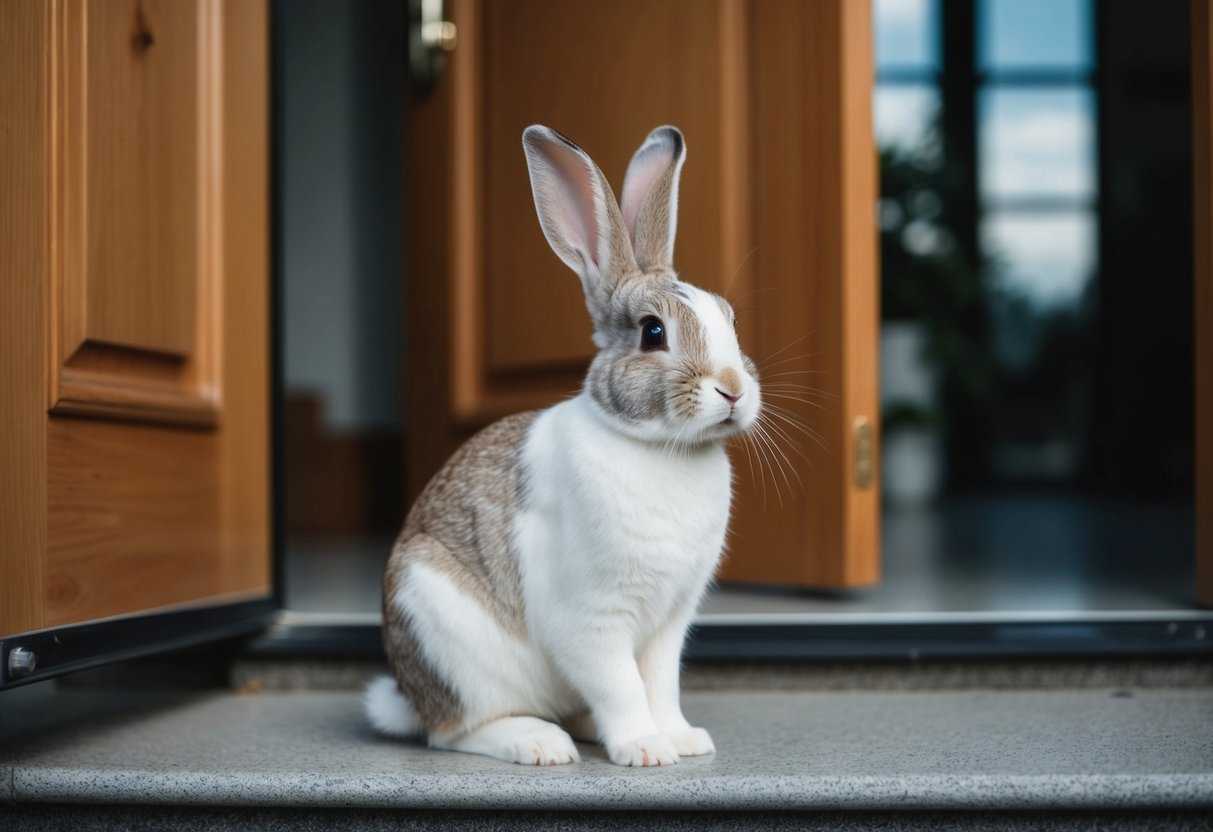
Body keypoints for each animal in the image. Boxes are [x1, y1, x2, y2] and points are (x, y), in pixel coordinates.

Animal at [365, 124, 761, 767]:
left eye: (731, 320)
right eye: (653, 332)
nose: (733, 389)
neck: (655, 446)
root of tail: (409, 696)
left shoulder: (668, 623)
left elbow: (659, 684)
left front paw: (683, 740)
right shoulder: (591, 618)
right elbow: (621, 685)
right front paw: (647, 750)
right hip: (448, 640)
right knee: (454, 731)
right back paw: (540, 744)